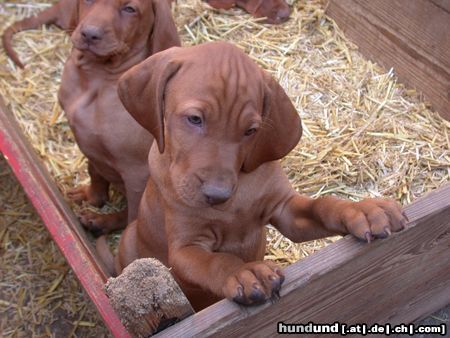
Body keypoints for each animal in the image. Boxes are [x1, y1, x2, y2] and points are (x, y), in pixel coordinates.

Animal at [3, 0, 180, 234]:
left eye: (129, 9)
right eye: (87, 1)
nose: (89, 34)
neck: (97, 77)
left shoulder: (137, 173)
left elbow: (134, 217)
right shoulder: (90, 145)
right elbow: (94, 172)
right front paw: (93, 197)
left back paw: (101, 222)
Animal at [116, 43, 408, 312]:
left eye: (251, 131)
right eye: (194, 119)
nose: (217, 195)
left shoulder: (286, 211)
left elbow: (323, 205)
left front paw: (362, 210)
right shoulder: (186, 248)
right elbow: (215, 261)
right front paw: (244, 272)